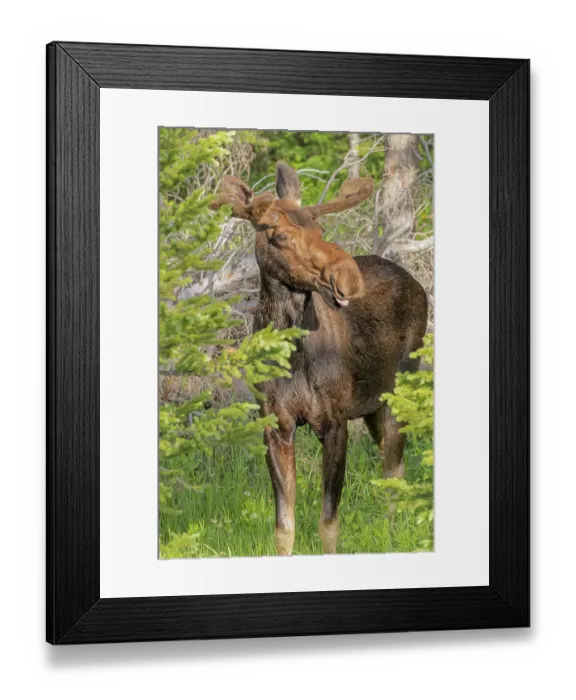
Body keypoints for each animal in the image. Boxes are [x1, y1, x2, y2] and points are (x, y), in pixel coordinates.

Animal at [211, 162, 428, 556]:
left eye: (320, 229)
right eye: (280, 235)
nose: (347, 276)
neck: (293, 356)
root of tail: (416, 283)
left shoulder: (334, 423)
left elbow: (329, 522)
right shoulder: (276, 426)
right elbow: (284, 525)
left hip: (397, 395)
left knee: (395, 471)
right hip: (373, 407)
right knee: (394, 471)